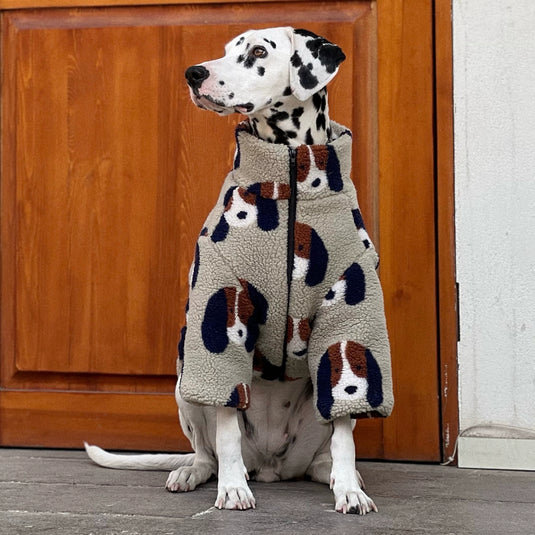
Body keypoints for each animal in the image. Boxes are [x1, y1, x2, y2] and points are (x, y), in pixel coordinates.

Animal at [86, 27, 378, 516]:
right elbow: (225, 433)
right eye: (225, 50)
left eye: (259, 51)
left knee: (327, 449)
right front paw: (233, 488)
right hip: (186, 382)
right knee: (207, 451)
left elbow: (344, 433)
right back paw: (197, 472)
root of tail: (273, 466)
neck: (290, 174)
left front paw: (350, 491)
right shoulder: (223, 315)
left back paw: (340, 476)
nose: (194, 73)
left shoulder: (349, 317)